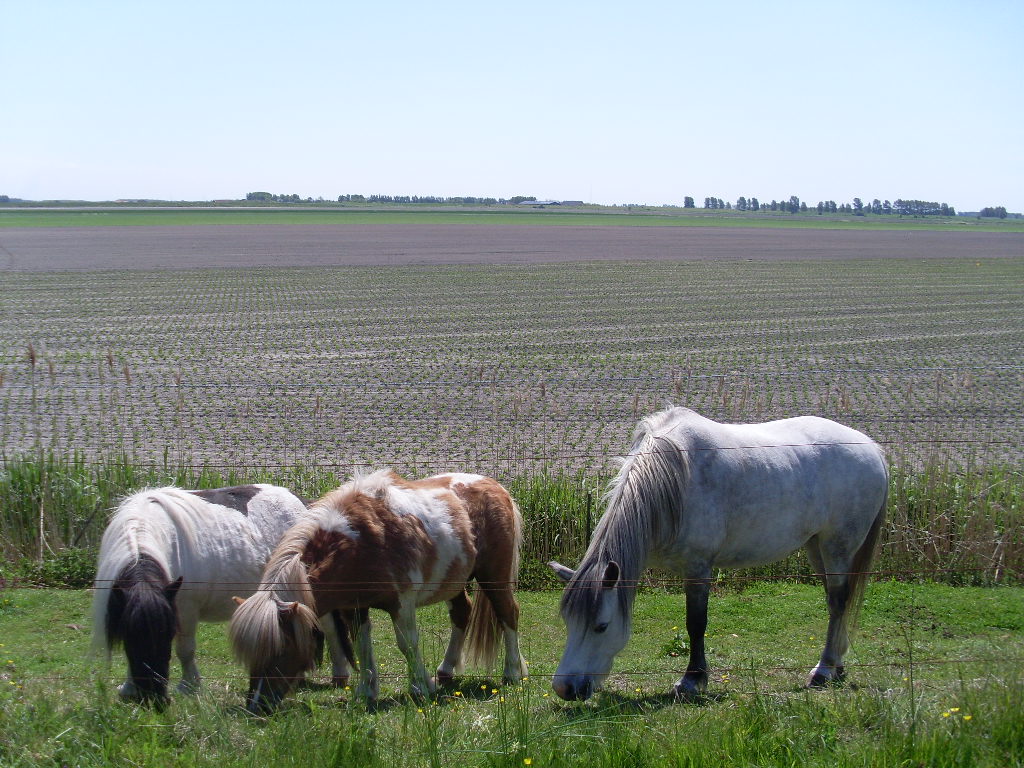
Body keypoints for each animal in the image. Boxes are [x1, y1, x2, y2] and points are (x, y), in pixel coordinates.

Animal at [91, 484, 353, 706]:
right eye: (133, 636)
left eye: (167, 634)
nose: (153, 697)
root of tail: (306, 505)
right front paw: (128, 687)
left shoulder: (184, 609)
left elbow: (185, 649)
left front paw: (189, 686)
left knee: (330, 630)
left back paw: (339, 675)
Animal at [229, 469, 528, 713]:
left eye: (281, 649)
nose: (256, 706)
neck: (360, 542)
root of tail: (495, 486)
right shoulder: (356, 606)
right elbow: (363, 645)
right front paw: (366, 692)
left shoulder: (402, 603)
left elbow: (407, 644)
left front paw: (421, 687)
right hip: (454, 582)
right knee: (462, 614)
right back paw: (446, 671)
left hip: (494, 577)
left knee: (508, 613)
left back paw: (512, 672)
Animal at [549, 406, 888, 701]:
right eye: (568, 621)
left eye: (601, 626)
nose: (565, 689)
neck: (675, 479)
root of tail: (872, 448)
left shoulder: (698, 567)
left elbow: (695, 623)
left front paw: (692, 680)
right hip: (816, 546)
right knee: (836, 601)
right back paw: (837, 664)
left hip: (838, 545)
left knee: (838, 601)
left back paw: (824, 669)